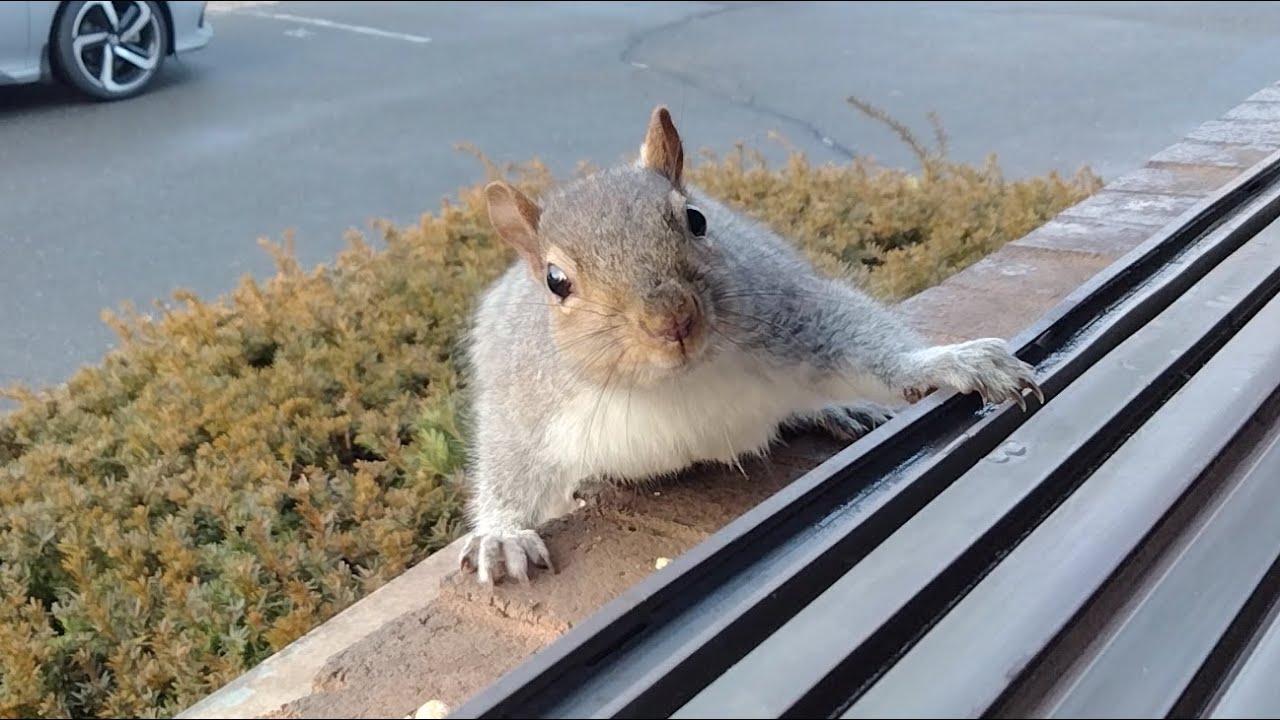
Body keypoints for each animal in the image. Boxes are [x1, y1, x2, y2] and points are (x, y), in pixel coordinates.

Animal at [457, 105, 1043, 585]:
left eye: (696, 220)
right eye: (555, 281)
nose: (671, 319)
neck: (676, 383)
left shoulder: (791, 316)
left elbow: (860, 337)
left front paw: (954, 362)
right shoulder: (530, 399)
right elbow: (507, 460)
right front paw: (500, 535)